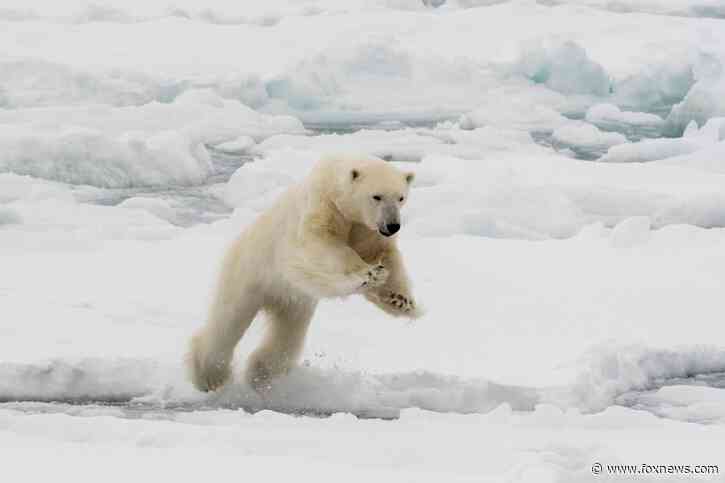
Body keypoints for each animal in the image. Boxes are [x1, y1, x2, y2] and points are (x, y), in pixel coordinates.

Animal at [188, 154, 419, 392]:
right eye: (377, 196)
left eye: (401, 198)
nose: (393, 225)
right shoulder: (322, 207)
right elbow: (321, 246)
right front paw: (369, 274)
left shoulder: (368, 231)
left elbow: (387, 255)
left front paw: (401, 301)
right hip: (249, 273)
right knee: (229, 321)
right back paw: (210, 376)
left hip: (294, 301)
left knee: (287, 336)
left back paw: (260, 374)